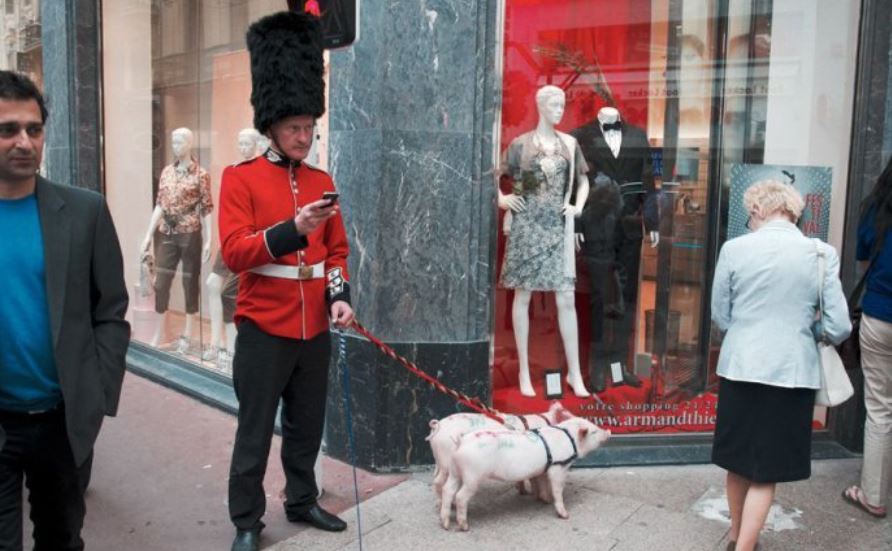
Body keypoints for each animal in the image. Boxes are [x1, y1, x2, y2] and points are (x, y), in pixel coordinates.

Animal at [426, 402, 580, 504]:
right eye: (568, 416)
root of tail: (437, 426)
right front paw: (532, 494)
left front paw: (524, 491)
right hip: (446, 458)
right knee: (438, 482)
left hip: (440, 460)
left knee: (436, 479)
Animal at [438, 418, 608, 532]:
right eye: (593, 431)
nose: (608, 431)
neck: (569, 437)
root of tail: (461, 441)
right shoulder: (558, 467)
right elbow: (557, 489)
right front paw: (565, 515)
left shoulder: (542, 469)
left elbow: (541, 483)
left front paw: (544, 500)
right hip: (472, 476)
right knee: (460, 496)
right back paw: (464, 527)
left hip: (454, 471)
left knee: (447, 490)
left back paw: (445, 525)